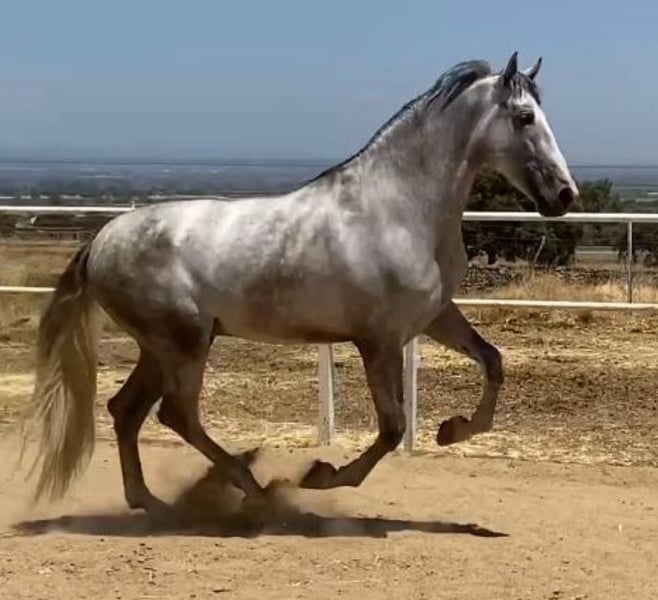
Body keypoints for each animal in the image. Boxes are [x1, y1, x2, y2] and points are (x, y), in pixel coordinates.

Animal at [20, 52, 578, 513]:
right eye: (524, 117)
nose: (564, 195)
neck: (396, 209)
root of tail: (100, 240)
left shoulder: (433, 317)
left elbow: (492, 361)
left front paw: (451, 431)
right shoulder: (378, 339)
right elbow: (392, 427)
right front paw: (321, 475)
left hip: (164, 347)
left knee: (127, 410)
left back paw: (151, 502)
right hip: (183, 343)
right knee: (175, 415)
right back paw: (253, 487)